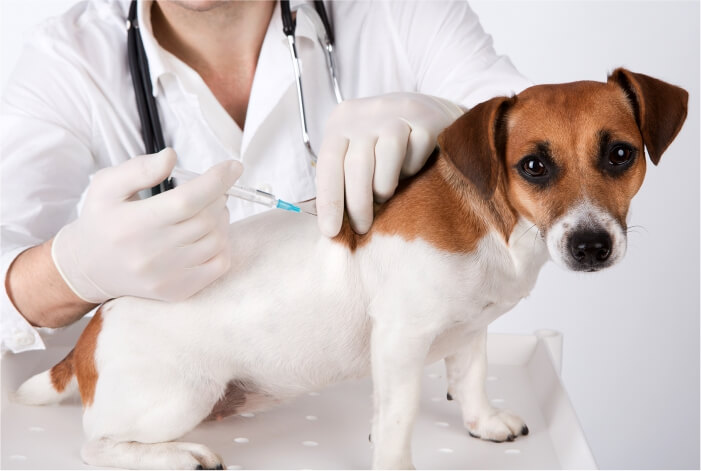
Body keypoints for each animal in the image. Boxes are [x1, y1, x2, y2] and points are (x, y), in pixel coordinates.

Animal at [13, 68, 688, 470]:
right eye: (534, 166)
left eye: (620, 154)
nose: (591, 245)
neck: (498, 227)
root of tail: (92, 333)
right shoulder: (401, 342)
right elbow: (397, 419)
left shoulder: (470, 331)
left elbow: (470, 378)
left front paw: (482, 422)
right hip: (180, 397)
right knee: (96, 445)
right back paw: (173, 456)